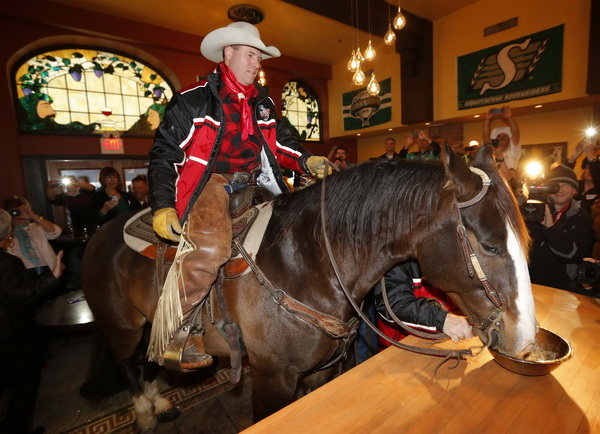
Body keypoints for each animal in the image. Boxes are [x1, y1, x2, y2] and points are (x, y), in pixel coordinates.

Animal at [82, 147, 536, 432]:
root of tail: (97, 235)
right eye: (490, 245)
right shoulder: (273, 379)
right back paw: (145, 412)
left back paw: (160, 402)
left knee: (149, 358)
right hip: (122, 328)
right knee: (128, 363)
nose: (525, 338)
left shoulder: (326, 369)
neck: (306, 263)